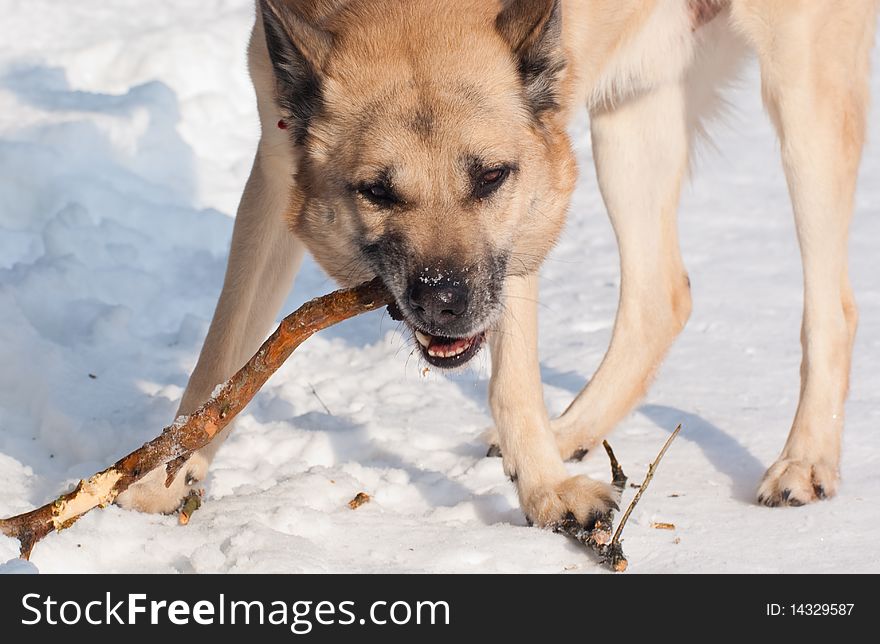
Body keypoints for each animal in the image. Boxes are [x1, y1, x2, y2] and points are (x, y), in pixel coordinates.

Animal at [118, 0, 880, 532]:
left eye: (489, 177)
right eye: (377, 191)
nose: (444, 301)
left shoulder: (533, 197)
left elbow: (512, 373)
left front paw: (547, 495)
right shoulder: (275, 168)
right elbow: (224, 352)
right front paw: (164, 475)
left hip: (801, 100)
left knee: (832, 305)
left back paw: (804, 460)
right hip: (631, 117)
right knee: (663, 295)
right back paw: (569, 430)